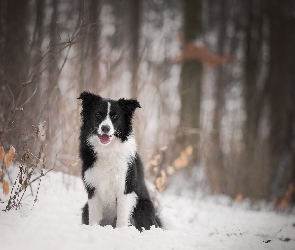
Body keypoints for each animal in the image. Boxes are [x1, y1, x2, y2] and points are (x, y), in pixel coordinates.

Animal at [78, 91, 162, 230]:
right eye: (98, 115)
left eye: (115, 116)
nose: (105, 128)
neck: (107, 150)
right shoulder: (93, 189)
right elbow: (94, 218)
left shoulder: (125, 188)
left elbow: (122, 219)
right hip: (85, 208)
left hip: (143, 207)